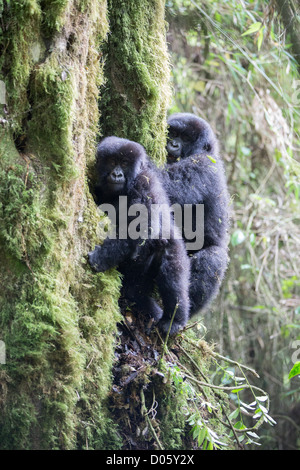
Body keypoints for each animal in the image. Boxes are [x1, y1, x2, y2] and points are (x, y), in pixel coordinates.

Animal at [88, 136, 190, 334]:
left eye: (125, 163)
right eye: (112, 161)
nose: (117, 174)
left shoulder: (144, 184)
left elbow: (141, 226)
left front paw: (102, 257)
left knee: (172, 273)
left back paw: (174, 319)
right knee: (135, 289)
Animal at [162, 113, 230, 316]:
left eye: (185, 138)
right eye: (173, 133)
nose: (173, 144)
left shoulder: (204, 165)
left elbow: (165, 185)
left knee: (214, 258)